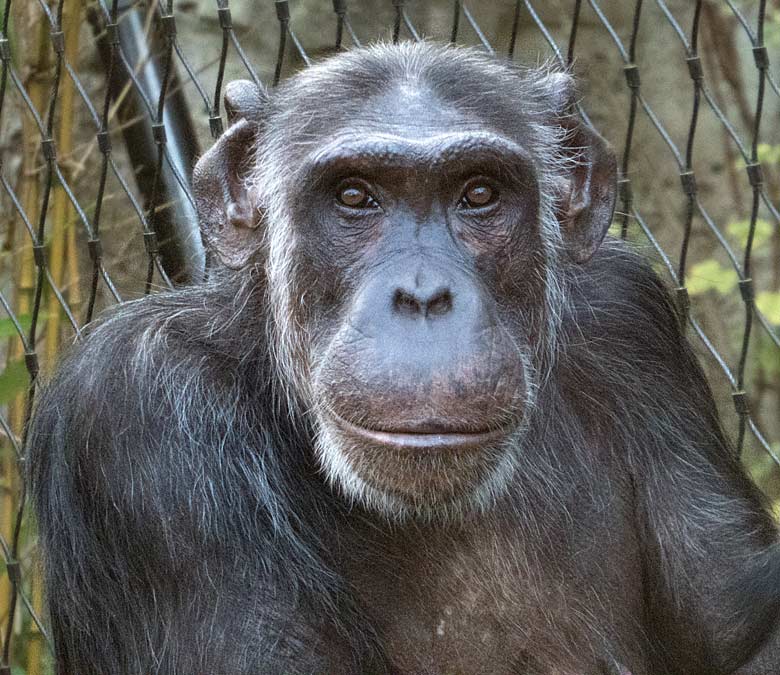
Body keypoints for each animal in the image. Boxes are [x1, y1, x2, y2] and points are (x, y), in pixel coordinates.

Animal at [25, 42, 780, 675]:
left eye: (479, 193)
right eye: (355, 195)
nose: (422, 295)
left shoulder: (633, 324)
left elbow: (740, 631)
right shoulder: (137, 405)